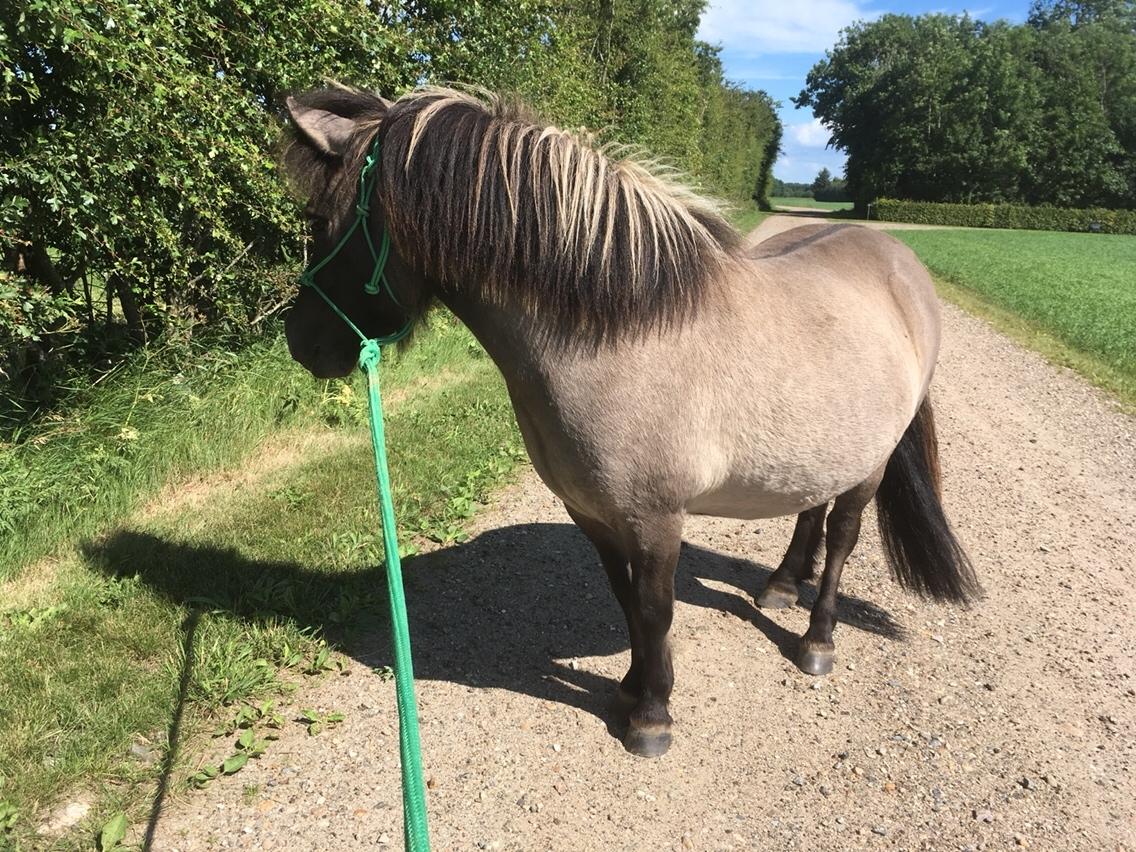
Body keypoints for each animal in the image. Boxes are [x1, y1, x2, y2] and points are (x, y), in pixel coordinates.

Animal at [277, 86, 976, 758]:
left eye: (321, 222)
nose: (302, 343)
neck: (616, 342)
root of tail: (898, 259)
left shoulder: (657, 518)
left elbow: (655, 608)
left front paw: (651, 716)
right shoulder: (593, 513)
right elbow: (627, 602)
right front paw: (631, 689)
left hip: (871, 462)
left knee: (843, 537)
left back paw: (817, 640)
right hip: (823, 445)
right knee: (811, 506)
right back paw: (781, 585)